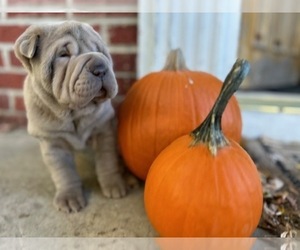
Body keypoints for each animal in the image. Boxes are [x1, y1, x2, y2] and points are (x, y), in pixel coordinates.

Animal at [14, 21, 126, 211]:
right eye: (63, 55)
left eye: (99, 51)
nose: (100, 67)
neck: (73, 113)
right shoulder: (53, 143)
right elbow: (64, 173)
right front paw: (69, 197)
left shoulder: (104, 130)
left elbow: (107, 160)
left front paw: (114, 185)